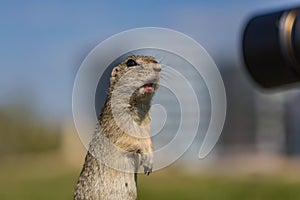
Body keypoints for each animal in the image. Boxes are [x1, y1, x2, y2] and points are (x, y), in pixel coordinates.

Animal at [73, 55, 161, 200]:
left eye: (155, 59)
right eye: (131, 62)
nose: (158, 66)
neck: (138, 107)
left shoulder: (146, 126)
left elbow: (147, 139)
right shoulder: (116, 124)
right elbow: (129, 139)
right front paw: (147, 158)